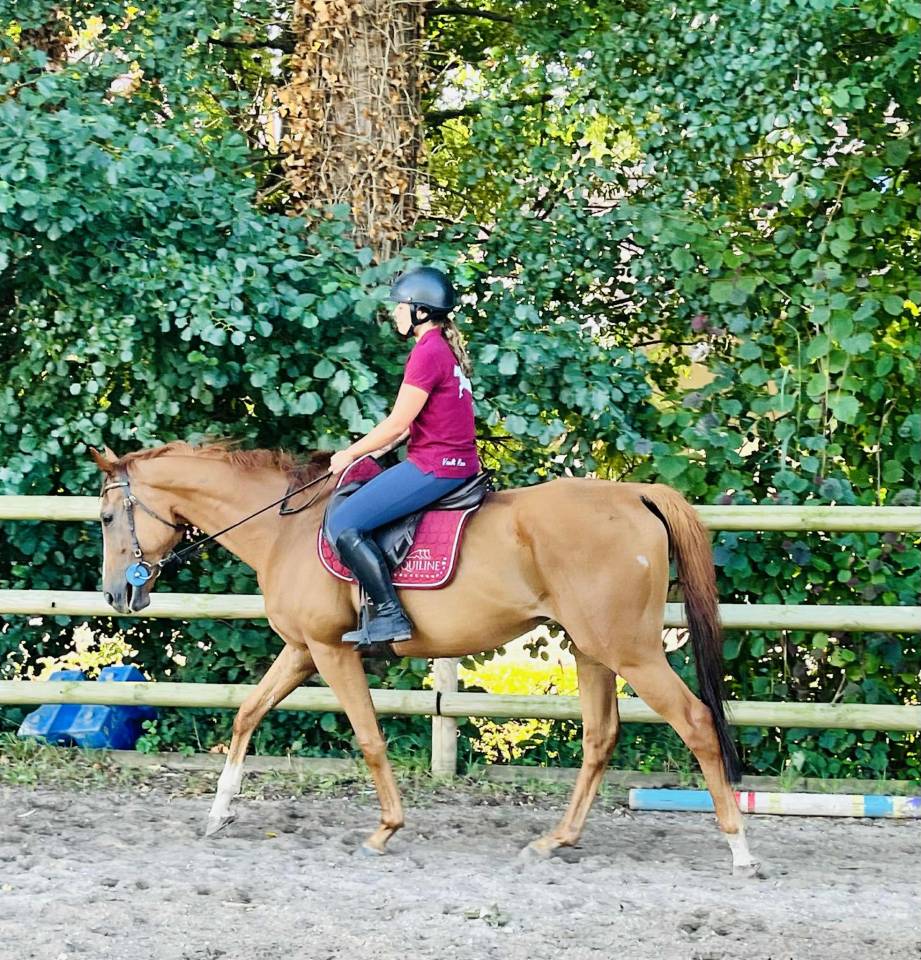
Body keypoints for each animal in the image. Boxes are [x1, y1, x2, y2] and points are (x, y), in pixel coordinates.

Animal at [90, 440, 759, 876]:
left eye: (106, 516)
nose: (118, 593)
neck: (285, 529)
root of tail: (636, 493)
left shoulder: (330, 652)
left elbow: (368, 737)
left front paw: (385, 830)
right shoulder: (302, 650)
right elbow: (247, 713)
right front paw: (218, 813)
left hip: (631, 650)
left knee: (696, 723)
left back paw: (739, 848)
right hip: (593, 649)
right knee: (600, 737)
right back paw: (555, 841)